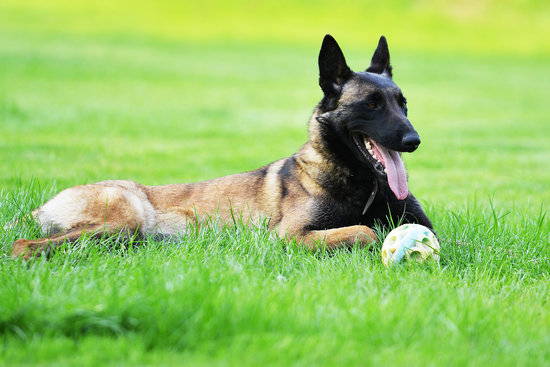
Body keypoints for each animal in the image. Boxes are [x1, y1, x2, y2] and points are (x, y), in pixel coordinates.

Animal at [10, 34, 436, 258]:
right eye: (371, 105)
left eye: (403, 104)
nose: (413, 141)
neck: (363, 186)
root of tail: (44, 205)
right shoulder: (290, 237)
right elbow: (366, 232)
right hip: (124, 218)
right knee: (22, 245)